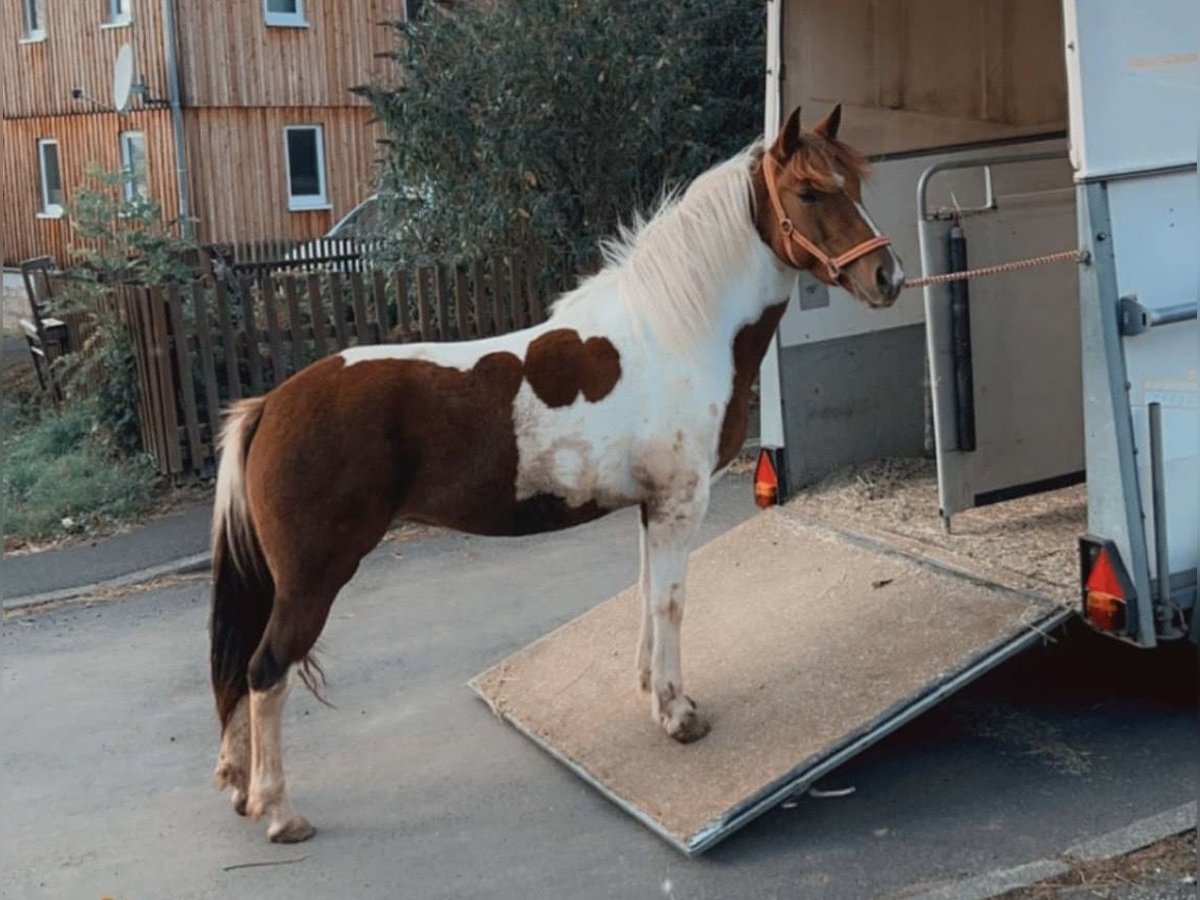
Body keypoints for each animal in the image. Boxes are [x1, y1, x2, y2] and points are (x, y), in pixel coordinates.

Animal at [208, 105, 902, 844]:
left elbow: (645, 594)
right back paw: (281, 812)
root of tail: (269, 405)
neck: (676, 333)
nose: (885, 277)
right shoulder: (681, 503)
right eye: (810, 193)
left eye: (855, 183)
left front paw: (648, 691)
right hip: (313, 579)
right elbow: (672, 602)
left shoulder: (651, 507)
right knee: (264, 671)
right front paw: (678, 715)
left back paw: (241, 787)